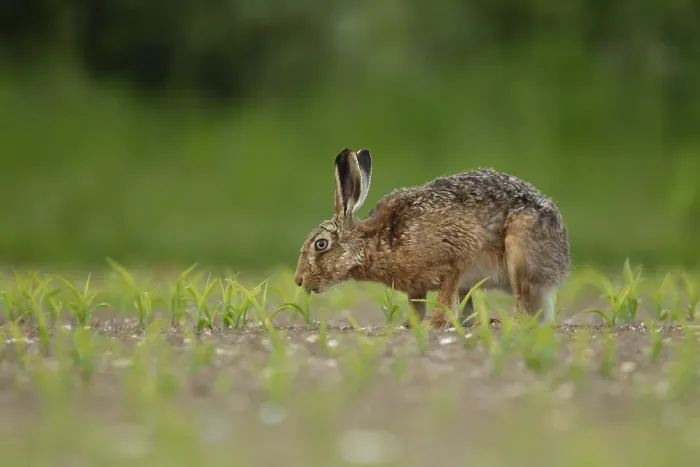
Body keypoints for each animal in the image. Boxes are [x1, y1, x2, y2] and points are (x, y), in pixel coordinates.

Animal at [293, 148, 571, 328]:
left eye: (320, 244)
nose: (298, 280)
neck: (372, 242)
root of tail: (561, 261)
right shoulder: (415, 286)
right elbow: (416, 306)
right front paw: (410, 324)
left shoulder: (453, 262)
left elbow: (443, 300)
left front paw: (431, 324)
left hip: (518, 250)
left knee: (522, 302)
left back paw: (507, 322)